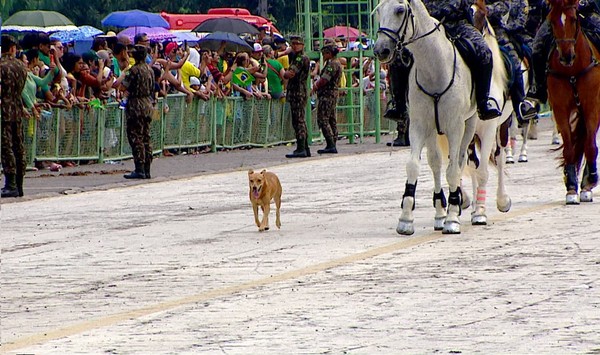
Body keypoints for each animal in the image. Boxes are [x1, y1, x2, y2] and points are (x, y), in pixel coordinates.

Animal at [376, 0, 478, 235]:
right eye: (378, 11)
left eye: (400, 10)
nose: (380, 49)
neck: (434, 69)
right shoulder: (419, 125)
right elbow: (414, 165)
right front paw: (405, 219)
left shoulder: (455, 127)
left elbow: (453, 170)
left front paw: (452, 218)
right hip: (432, 130)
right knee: (435, 162)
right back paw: (440, 213)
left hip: (469, 124)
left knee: (459, 160)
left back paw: (457, 206)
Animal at [548, 0, 600, 204]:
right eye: (552, 21)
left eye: (572, 19)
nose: (566, 56)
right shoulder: (559, 108)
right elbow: (569, 148)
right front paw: (571, 186)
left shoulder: (592, 105)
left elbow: (591, 146)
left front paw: (590, 181)